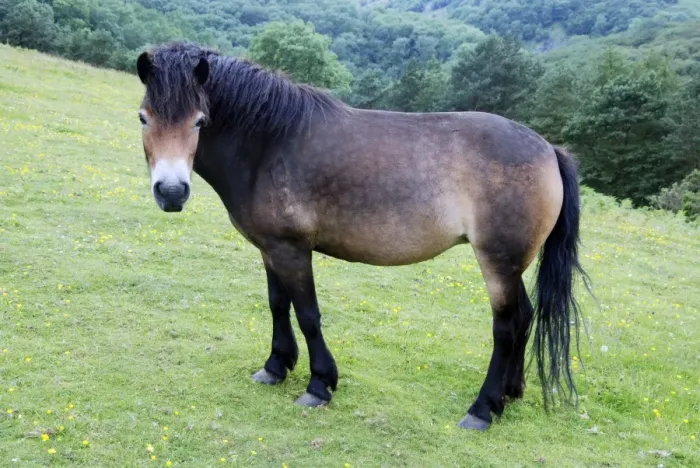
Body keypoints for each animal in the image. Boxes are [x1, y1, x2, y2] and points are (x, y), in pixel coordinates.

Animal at [134, 42, 589, 431]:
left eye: (199, 120)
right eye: (144, 117)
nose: (171, 192)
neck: (268, 143)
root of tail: (549, 149)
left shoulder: (292, 250)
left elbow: (308, 314)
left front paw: (319, 385)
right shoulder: (270, 249)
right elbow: (278, 305)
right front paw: (275, 367)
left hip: (498, 263)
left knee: (507, 326)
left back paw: (482, 408)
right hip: (511, 266)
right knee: (525, 316)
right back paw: (510, 394)